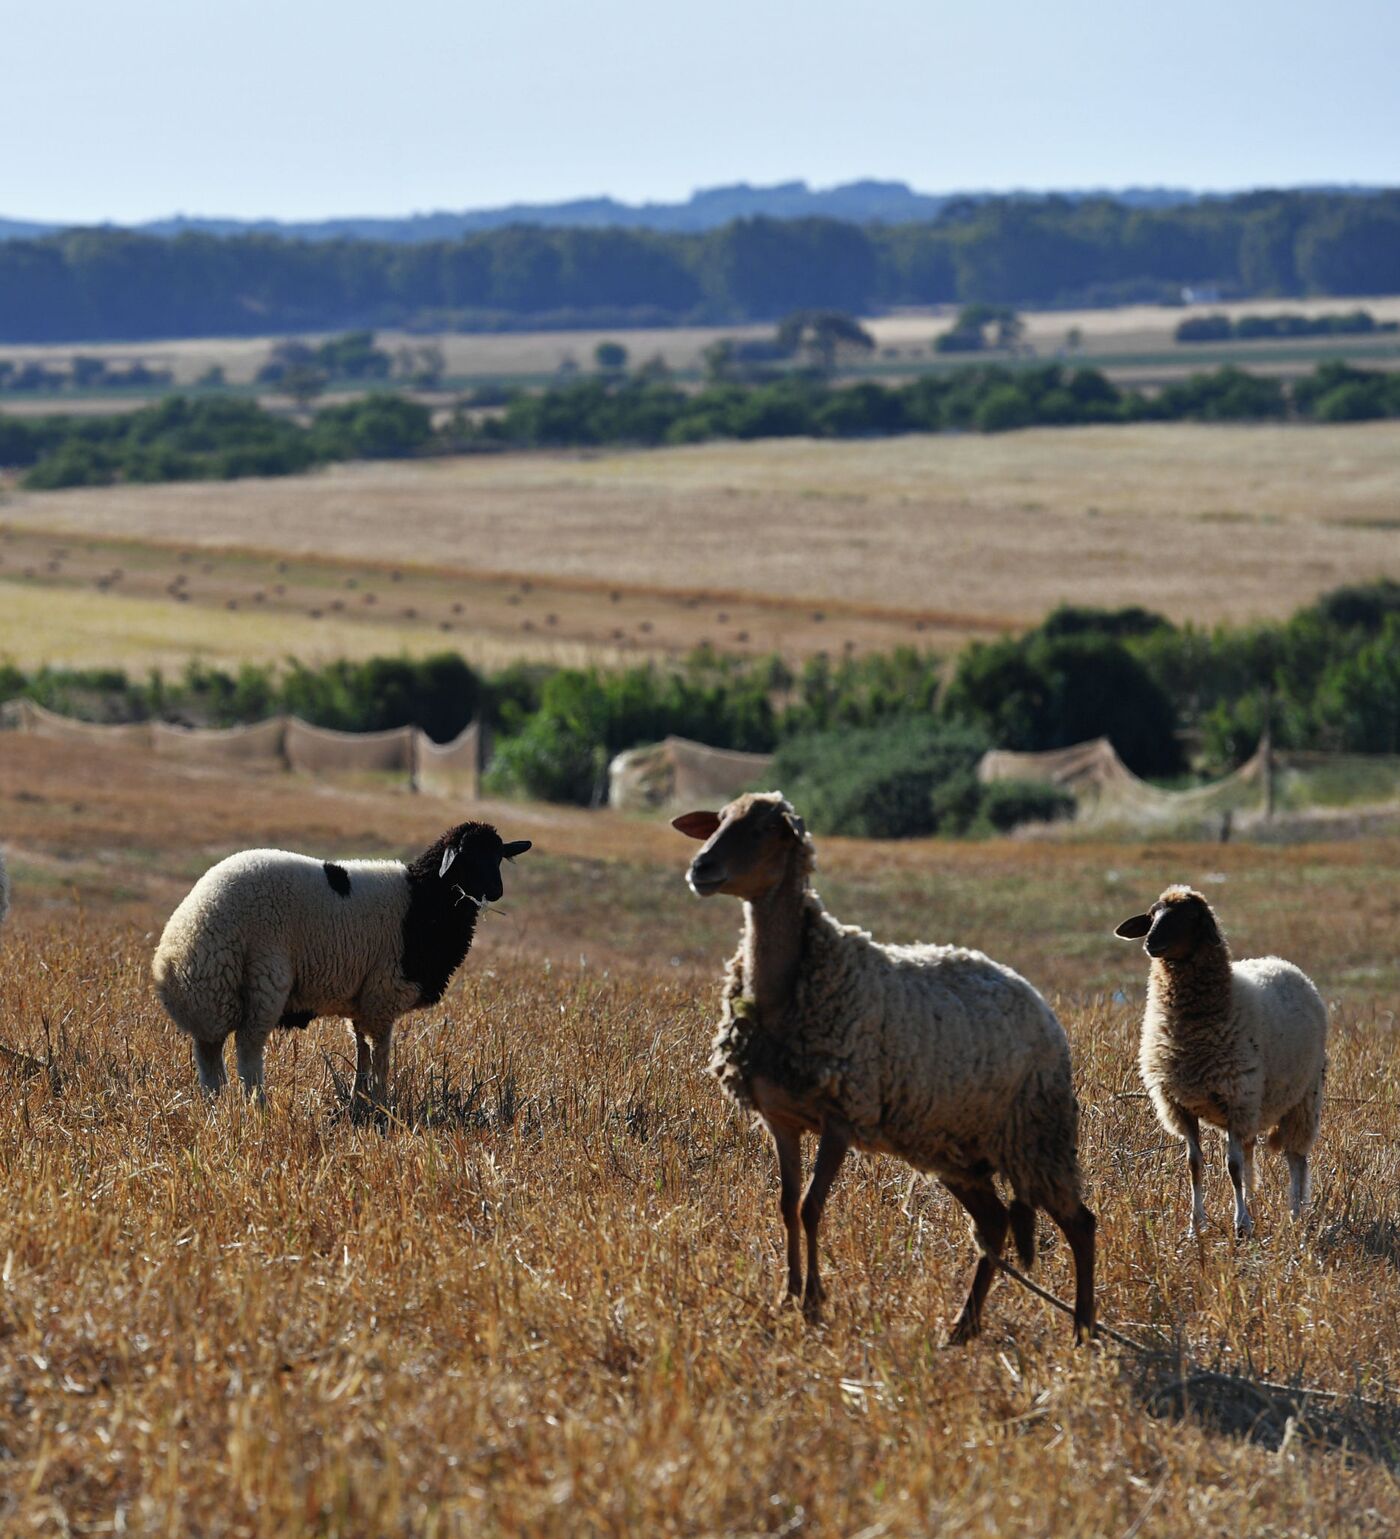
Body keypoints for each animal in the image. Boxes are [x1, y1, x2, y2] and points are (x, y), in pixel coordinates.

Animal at [150, 824, 529, 1114]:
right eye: (468, 857)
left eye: (498, 856)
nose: (497, 891)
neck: (424, 898)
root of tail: (179, 947)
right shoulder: (383, 993)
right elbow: (381, 1056)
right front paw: (382, 1105)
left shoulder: (362, 1000)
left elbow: (361, 1051)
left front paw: (360, 1102)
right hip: (262, 981)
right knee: (248, 1052)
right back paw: (259, 1107)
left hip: (214, 997)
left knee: (209, 1059)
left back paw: (215, 1107)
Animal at [1113, 892, 1329, 1237]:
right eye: (1152, 915)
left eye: (1190, 917)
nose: (1150, 943)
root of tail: (1282, 964)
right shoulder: (1181, 1104)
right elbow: (1194, 1165)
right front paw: (1196, 1225)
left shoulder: (1234, 1098)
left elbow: (1233, 1166)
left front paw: (1241, 1225)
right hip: (1255, 1104)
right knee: (1252, 1152)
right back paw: (1254, 1203)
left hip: (1303, 1098)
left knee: (1296, 1158)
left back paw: (1295, 1216)